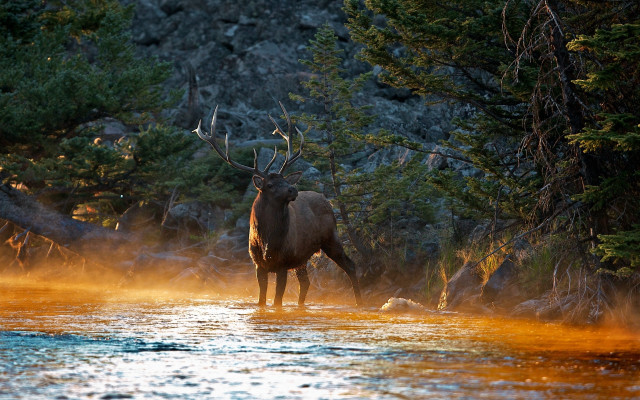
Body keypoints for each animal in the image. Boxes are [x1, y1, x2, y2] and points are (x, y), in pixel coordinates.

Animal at [194, 102, 362, 307]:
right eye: (270, 185)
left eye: (285, 180)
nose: (293, 189)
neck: (268, 240)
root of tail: (327, 200)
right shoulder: (259, 265)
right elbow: (261, 300)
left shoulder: (283, 263)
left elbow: (277, 302)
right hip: (302, 257)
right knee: (306, 283)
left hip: (331, 237)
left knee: (350, 265)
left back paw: (360, 302)